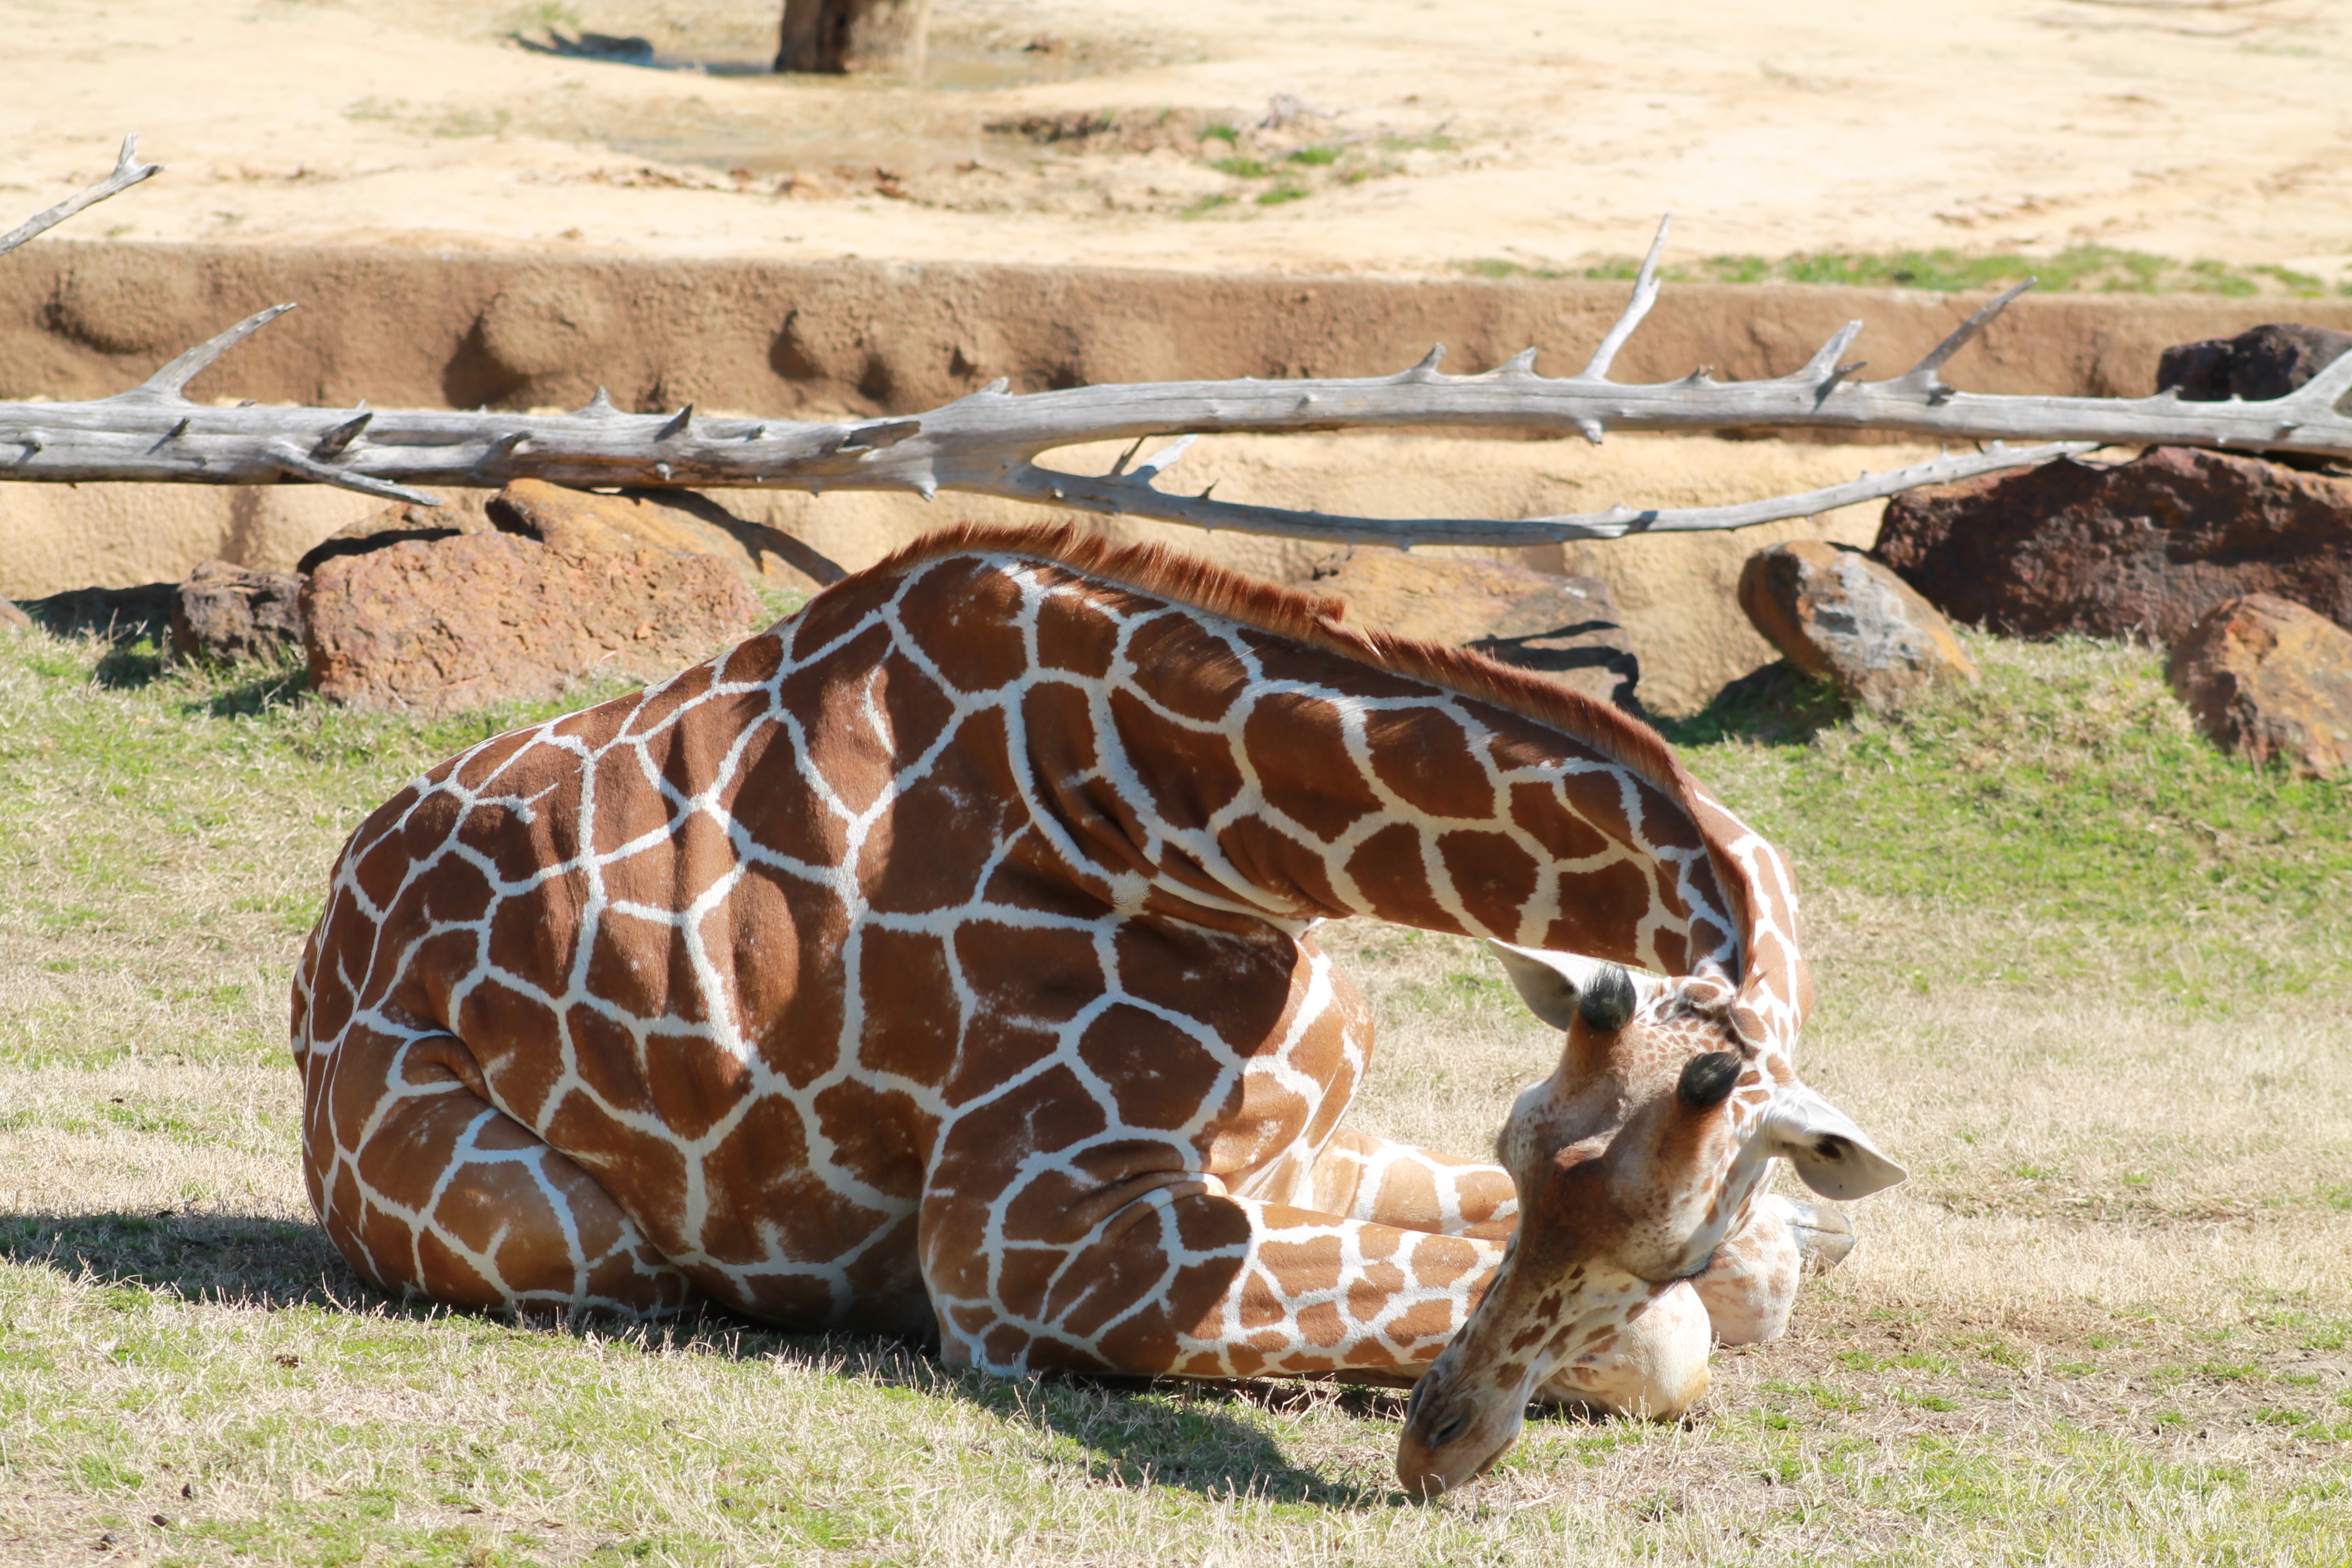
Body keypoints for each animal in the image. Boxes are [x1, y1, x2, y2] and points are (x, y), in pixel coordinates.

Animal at [294, 524, 1900, 1485]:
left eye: (1673, 1232)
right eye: (1525, 1152)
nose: (1437, 1451)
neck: (1174, 823)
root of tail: (321, 957)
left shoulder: (1288, 1145)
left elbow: (1752, 1268)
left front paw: (1789, 1244)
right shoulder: (1023, 1251)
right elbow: (1678, 1340)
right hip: (557, 1233)